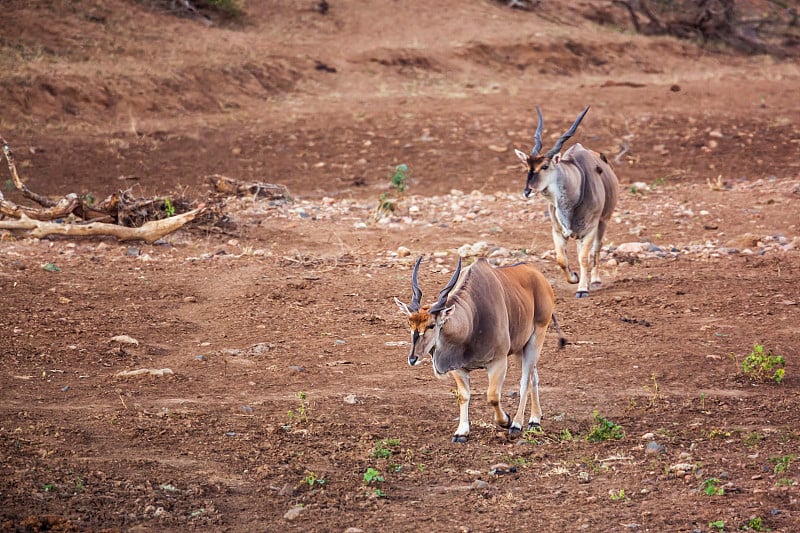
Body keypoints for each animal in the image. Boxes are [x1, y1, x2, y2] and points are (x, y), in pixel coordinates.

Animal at [394, 256, 564, 442]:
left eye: (431, 325)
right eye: (410, 323)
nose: (413, 358)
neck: (473, 317)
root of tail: (540, 278)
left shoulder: (498, 362)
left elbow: (493, 397)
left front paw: (506, 421)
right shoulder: (458, 367)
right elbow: (463, 396)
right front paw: (461, 432)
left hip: (537, 337)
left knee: (525, 381)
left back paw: (517, 424)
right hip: (521, 348)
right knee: (534, 376)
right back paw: (535, 420)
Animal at [516, 106, 620, 298]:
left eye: (545, 166)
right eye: (527, 167)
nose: (527, 191)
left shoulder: (590, 229)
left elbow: (584, 258)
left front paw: (582, 289)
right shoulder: (557, 230)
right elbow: (561, 259)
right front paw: (574, 278)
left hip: (603, 221)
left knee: (596, 249)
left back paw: (595, 281)